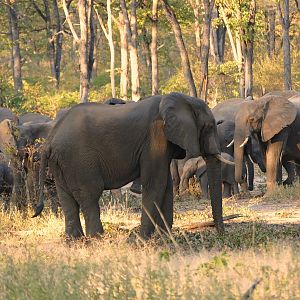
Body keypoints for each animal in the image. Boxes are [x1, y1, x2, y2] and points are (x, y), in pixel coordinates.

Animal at [33, 92, 230, 238]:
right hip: (79, 160)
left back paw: (75, 240)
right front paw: (142, 239)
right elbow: (156, 183)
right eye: (209, 127)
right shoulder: (155, 138)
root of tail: (50, 139)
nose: (221, 234)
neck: (183, 100)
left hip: (61, 162)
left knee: (66, 198)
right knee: (89, 195)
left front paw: (165, 236)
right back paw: (97, 238)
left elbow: (164, 185)